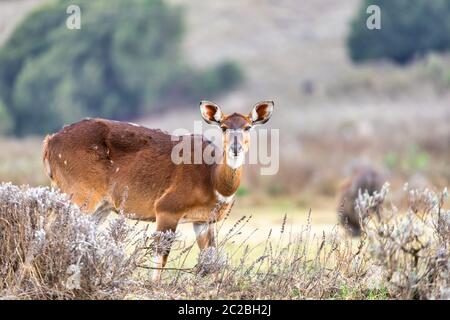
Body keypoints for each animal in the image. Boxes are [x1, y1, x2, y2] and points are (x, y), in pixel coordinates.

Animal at [42, 100, 274, 280]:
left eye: (248, 126)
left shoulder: (203, 220)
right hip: (79, 194)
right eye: (224, 127)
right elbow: (161, 254)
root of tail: (49, 141)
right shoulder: (166, 209)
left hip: (101, 206)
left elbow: (211, 256)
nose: (236, 148)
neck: (212, 180)